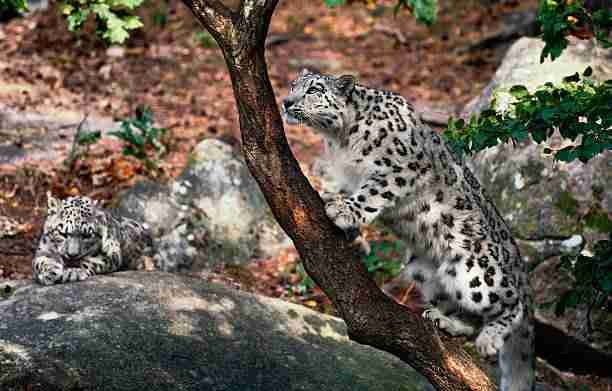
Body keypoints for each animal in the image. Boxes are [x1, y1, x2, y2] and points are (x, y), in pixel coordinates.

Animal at [282, 70, 536, 391]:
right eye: (293, 85)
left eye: (314, 89)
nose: (286, 101)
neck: (339, 142)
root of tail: (516, 259)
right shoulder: (345, 178)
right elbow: (341, 192)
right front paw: (355, 237)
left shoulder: (399, 169)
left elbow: (372, 193)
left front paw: (344, 212)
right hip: (424, 270)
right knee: (469, 315)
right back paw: (445, 321)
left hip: (477, 273)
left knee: (512, 304)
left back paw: (489, 340)